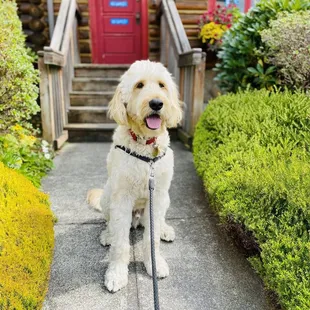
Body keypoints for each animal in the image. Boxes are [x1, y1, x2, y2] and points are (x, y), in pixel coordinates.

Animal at [86, 60, 182, 294]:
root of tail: (137, 217)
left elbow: (152, 239)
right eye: (139, 85)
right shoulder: (121, 199)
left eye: (162, 85)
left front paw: (155, 263)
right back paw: (107, 234)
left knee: (158, 220)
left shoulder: (157, 197)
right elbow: (120, 244)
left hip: (164, 200)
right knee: (110, 222)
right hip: (108, 195)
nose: (157, 103)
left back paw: (165, 230)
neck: (145, 146)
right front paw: (116, 273)